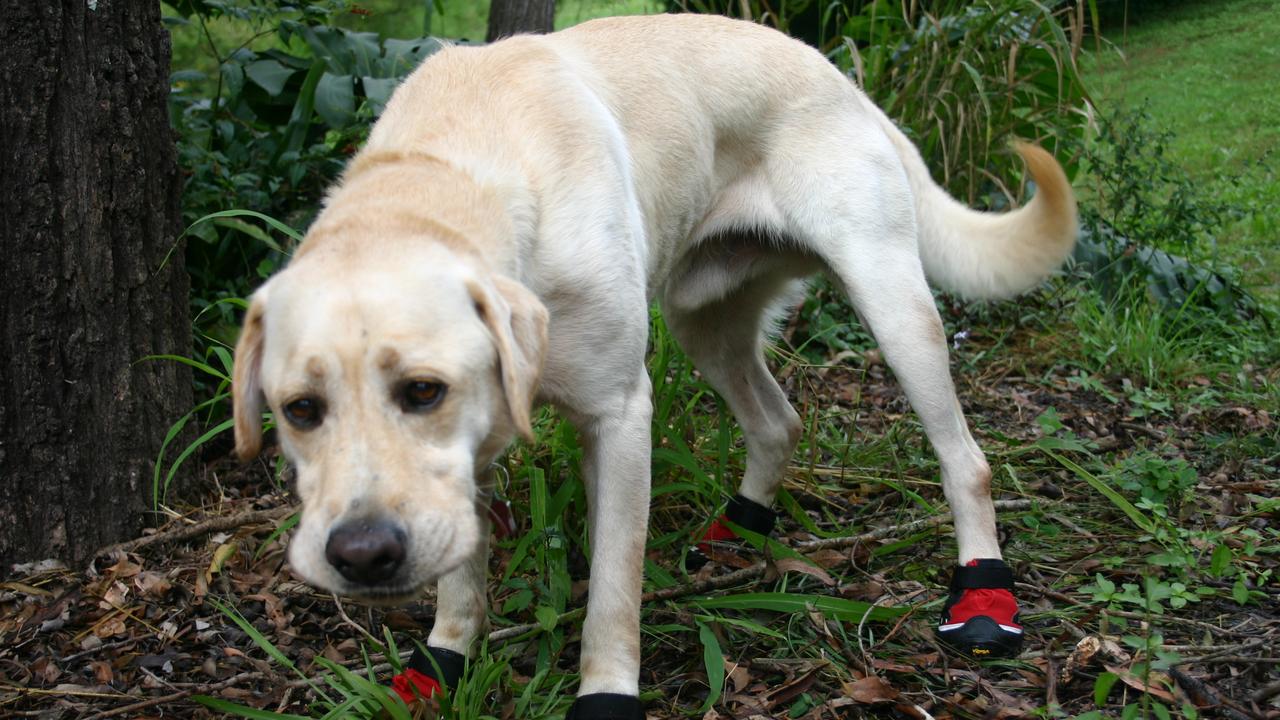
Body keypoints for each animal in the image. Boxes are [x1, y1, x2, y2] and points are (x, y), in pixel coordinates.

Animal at [230, 9, 1070, 712]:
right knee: (779, 421)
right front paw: (443, 664)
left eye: (422, 391)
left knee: (966, 460)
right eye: (300, 411)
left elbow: (613, 589)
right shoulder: (465, 459)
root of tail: (846, 83)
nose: (362, 557)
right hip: (704, 322)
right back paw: (741, 527)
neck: (448, 167)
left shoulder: (619, 416)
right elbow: (462, 579)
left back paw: (983, 595)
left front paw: (606, 696)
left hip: (893, 305)